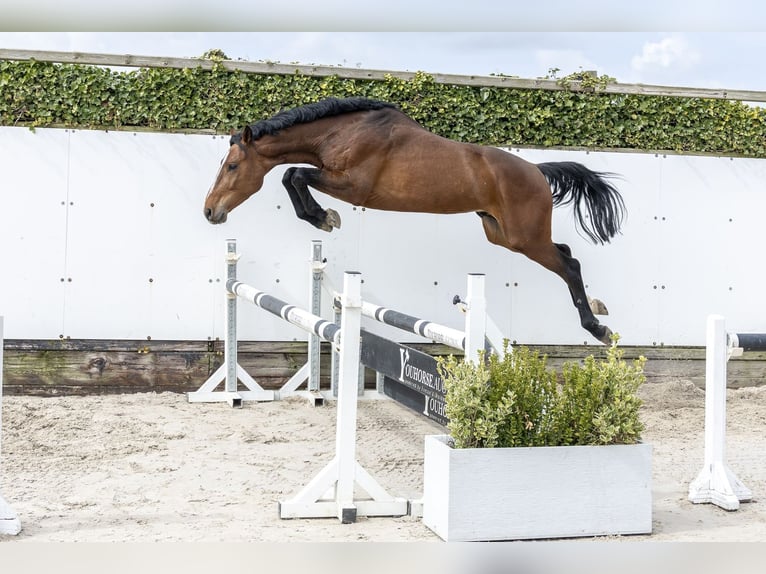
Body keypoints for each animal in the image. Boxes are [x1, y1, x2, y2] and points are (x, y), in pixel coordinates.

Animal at [204, 97, 625, 344]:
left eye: (233, 166)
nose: (210, 211)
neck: (342, 132)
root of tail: (537, 170)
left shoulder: (353, 187)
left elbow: (293, 174)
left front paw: (324, 217)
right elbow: (292, 175)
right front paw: (322, 217)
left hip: (524, 238)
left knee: (569, 264)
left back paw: (598, 328)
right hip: (503, 234)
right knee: (566, 252)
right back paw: (599, 308)